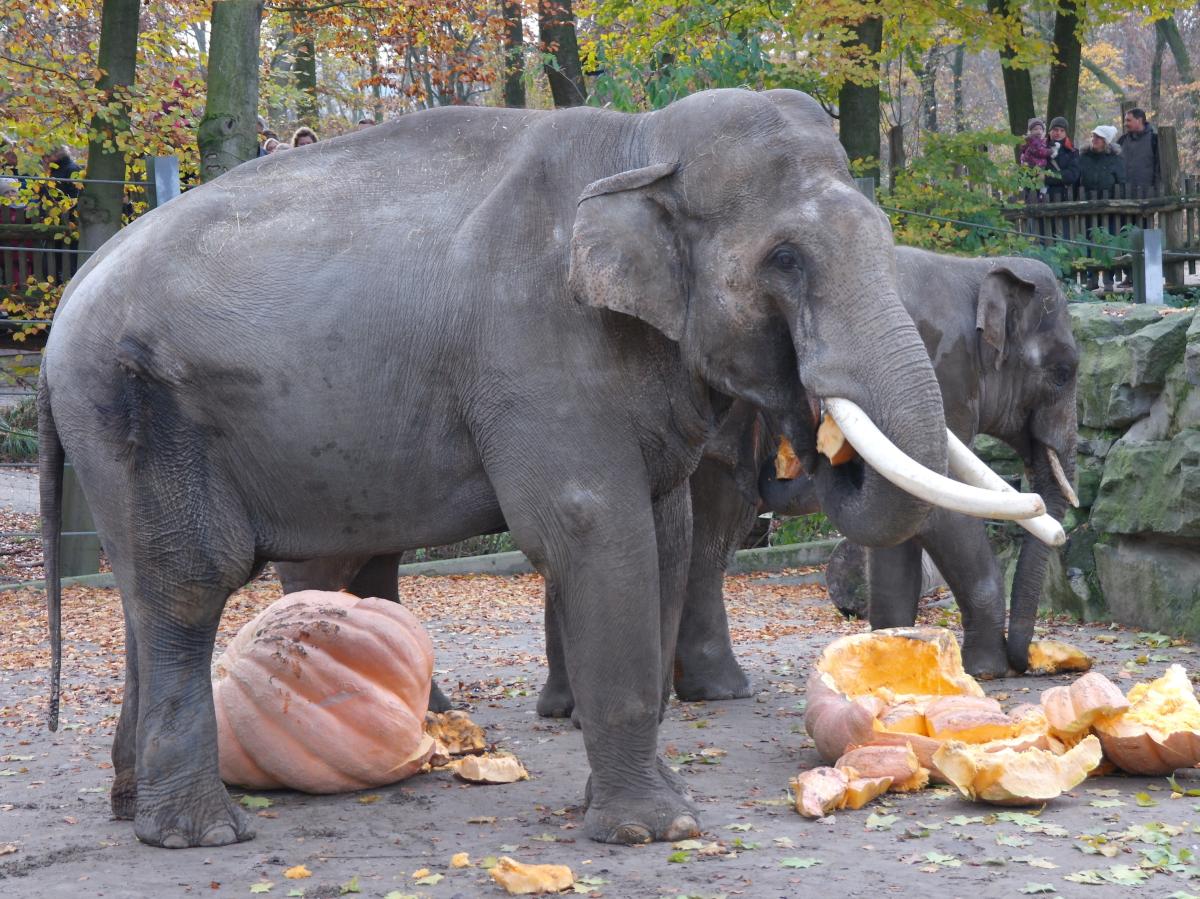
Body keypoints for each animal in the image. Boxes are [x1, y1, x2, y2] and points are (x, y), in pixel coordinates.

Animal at [44, 89, 1041, 849]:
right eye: (786, 259)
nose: (816, 430)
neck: (644, 143)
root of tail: (66, 299)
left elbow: (667, 533)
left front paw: (647, 811)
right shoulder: (540, 348)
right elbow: (593, 527)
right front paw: (654, 832)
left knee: (148, 596)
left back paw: (135, 810)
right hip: (136, 406)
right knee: (188, 583)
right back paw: (200, 833)